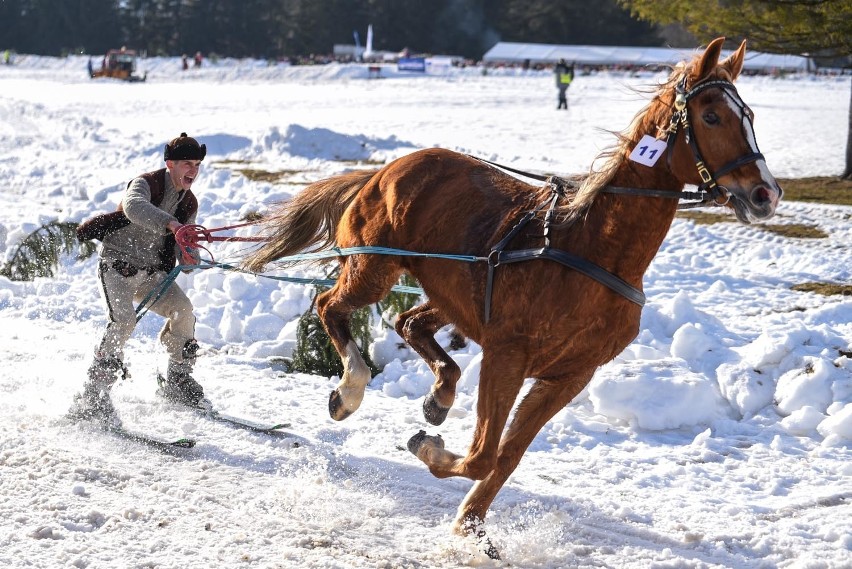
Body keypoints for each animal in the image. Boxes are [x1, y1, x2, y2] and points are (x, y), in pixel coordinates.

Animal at [243, 37, 784, 556]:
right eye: (711, 116)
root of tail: (386, 168)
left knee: (410, 323)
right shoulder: (508, 353)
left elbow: (506, 456)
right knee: (330, 306)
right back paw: (351, 389)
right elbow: (483, 454)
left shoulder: (569, 375)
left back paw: (440, 394)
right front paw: (432, 454)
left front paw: (471, 525)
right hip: (373, 267)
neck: (592, 248)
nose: (766, 193)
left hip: (450, 290)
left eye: (751, 117)